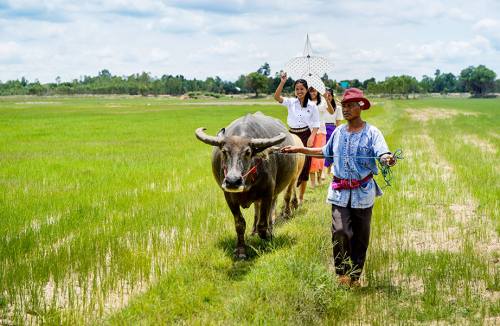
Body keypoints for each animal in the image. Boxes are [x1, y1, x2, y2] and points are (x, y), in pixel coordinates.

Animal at [195, 112, 304, 260]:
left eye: (247, 152)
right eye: (224, 152)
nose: (232, 181)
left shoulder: (268, 193)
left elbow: (263, 223)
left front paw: (268, 235)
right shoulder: (229, 196)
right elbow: (240, 223)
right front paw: (240, 250)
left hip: (291, 179)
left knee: (283, 199)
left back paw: (284, 215)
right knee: (257, 211)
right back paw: (253, 230)